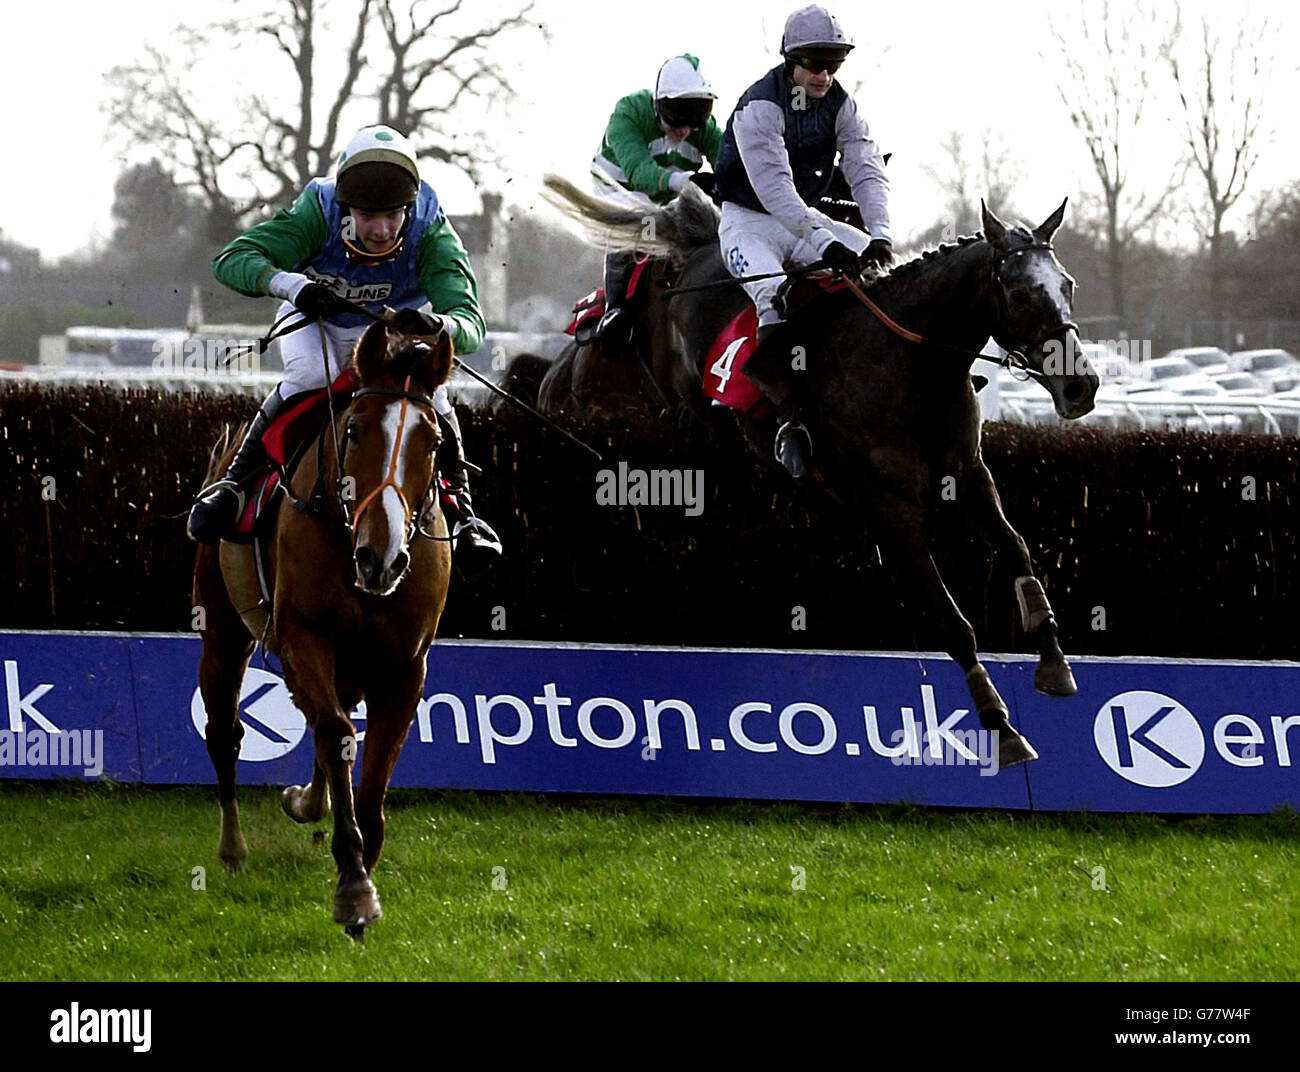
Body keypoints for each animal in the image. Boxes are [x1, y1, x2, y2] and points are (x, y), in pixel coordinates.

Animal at [189, 313, 457, 930]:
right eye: (353, 430)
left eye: (434, 442)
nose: (382, 557)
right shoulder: (303, 635)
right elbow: (337, 733)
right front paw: (353, 882)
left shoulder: (404, 665)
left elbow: (374, 767)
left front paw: (362, 859)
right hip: (222, 629)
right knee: (226, 732)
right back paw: (234, 848)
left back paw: (309, 801)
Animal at [538, 175, 1097, 764]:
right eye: (1020, 294)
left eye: (1067, 285)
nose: (1081, 387)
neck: (906, 364)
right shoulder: (889, 507)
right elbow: (952, 619)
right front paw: (1000, 723)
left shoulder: (968, 474)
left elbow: (1016, 550)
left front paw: (1054, 663)